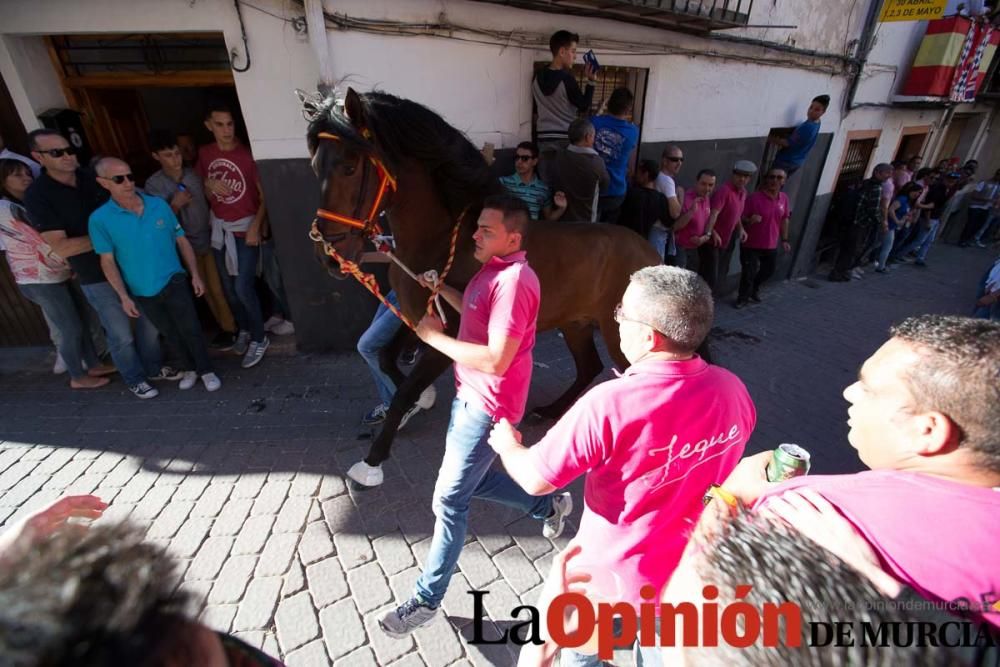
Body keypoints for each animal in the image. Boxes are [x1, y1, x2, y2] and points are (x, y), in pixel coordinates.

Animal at [308, 86, 660, 488]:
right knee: (589, 367)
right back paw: (550, 412)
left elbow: (403, 391)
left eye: (350, 167)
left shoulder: (451, 339)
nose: (329, 255)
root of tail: (651, 254)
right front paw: (422, 400)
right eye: (315, 166)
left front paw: (372, 462)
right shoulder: (420, 321)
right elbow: (388, 360)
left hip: (618, 336)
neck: (446, 240)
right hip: (576, 324)